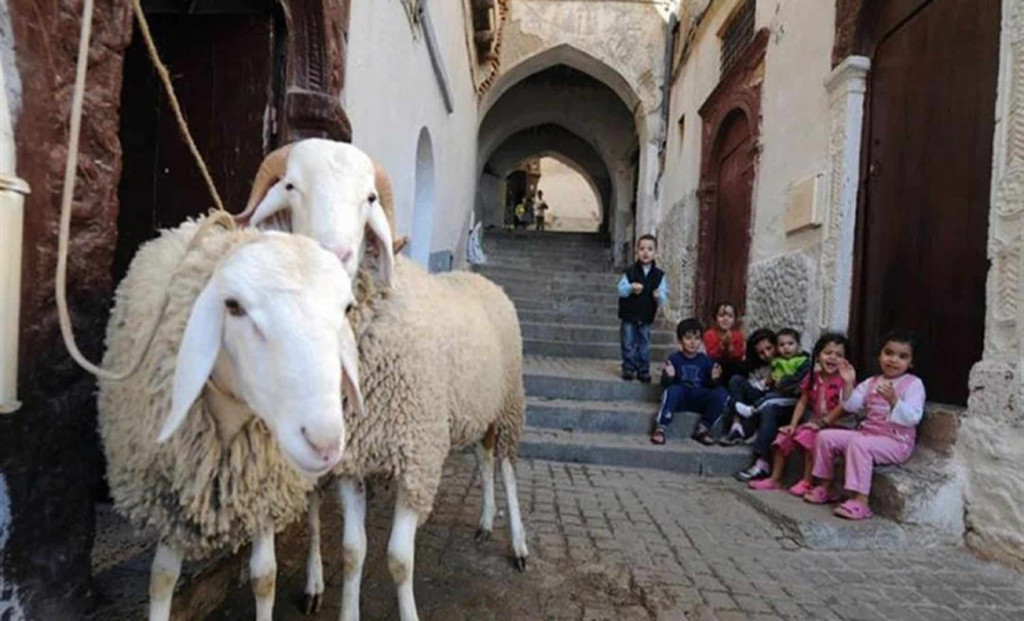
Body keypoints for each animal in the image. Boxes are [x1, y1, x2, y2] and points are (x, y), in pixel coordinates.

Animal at [96, 218, 364, 621]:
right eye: (234, 306)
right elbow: (161, 578)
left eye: (346, 308)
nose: (325, 443)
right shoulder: (169, 497)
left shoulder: (265, 492)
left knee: (315, 509)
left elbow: (264, 577)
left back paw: (314, 582)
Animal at [244, 147, 528, 621]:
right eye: (290, 186)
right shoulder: (353, 462)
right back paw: (487, 522)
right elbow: (353, 552)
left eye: (370, 198)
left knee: (506, 468)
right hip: (476, 408)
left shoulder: (418, 457)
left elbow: (398, 559)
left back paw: (520, 544)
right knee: (484, 458)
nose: (335, 253)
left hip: (509, 405)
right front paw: (347, 609)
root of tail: (477, 277)